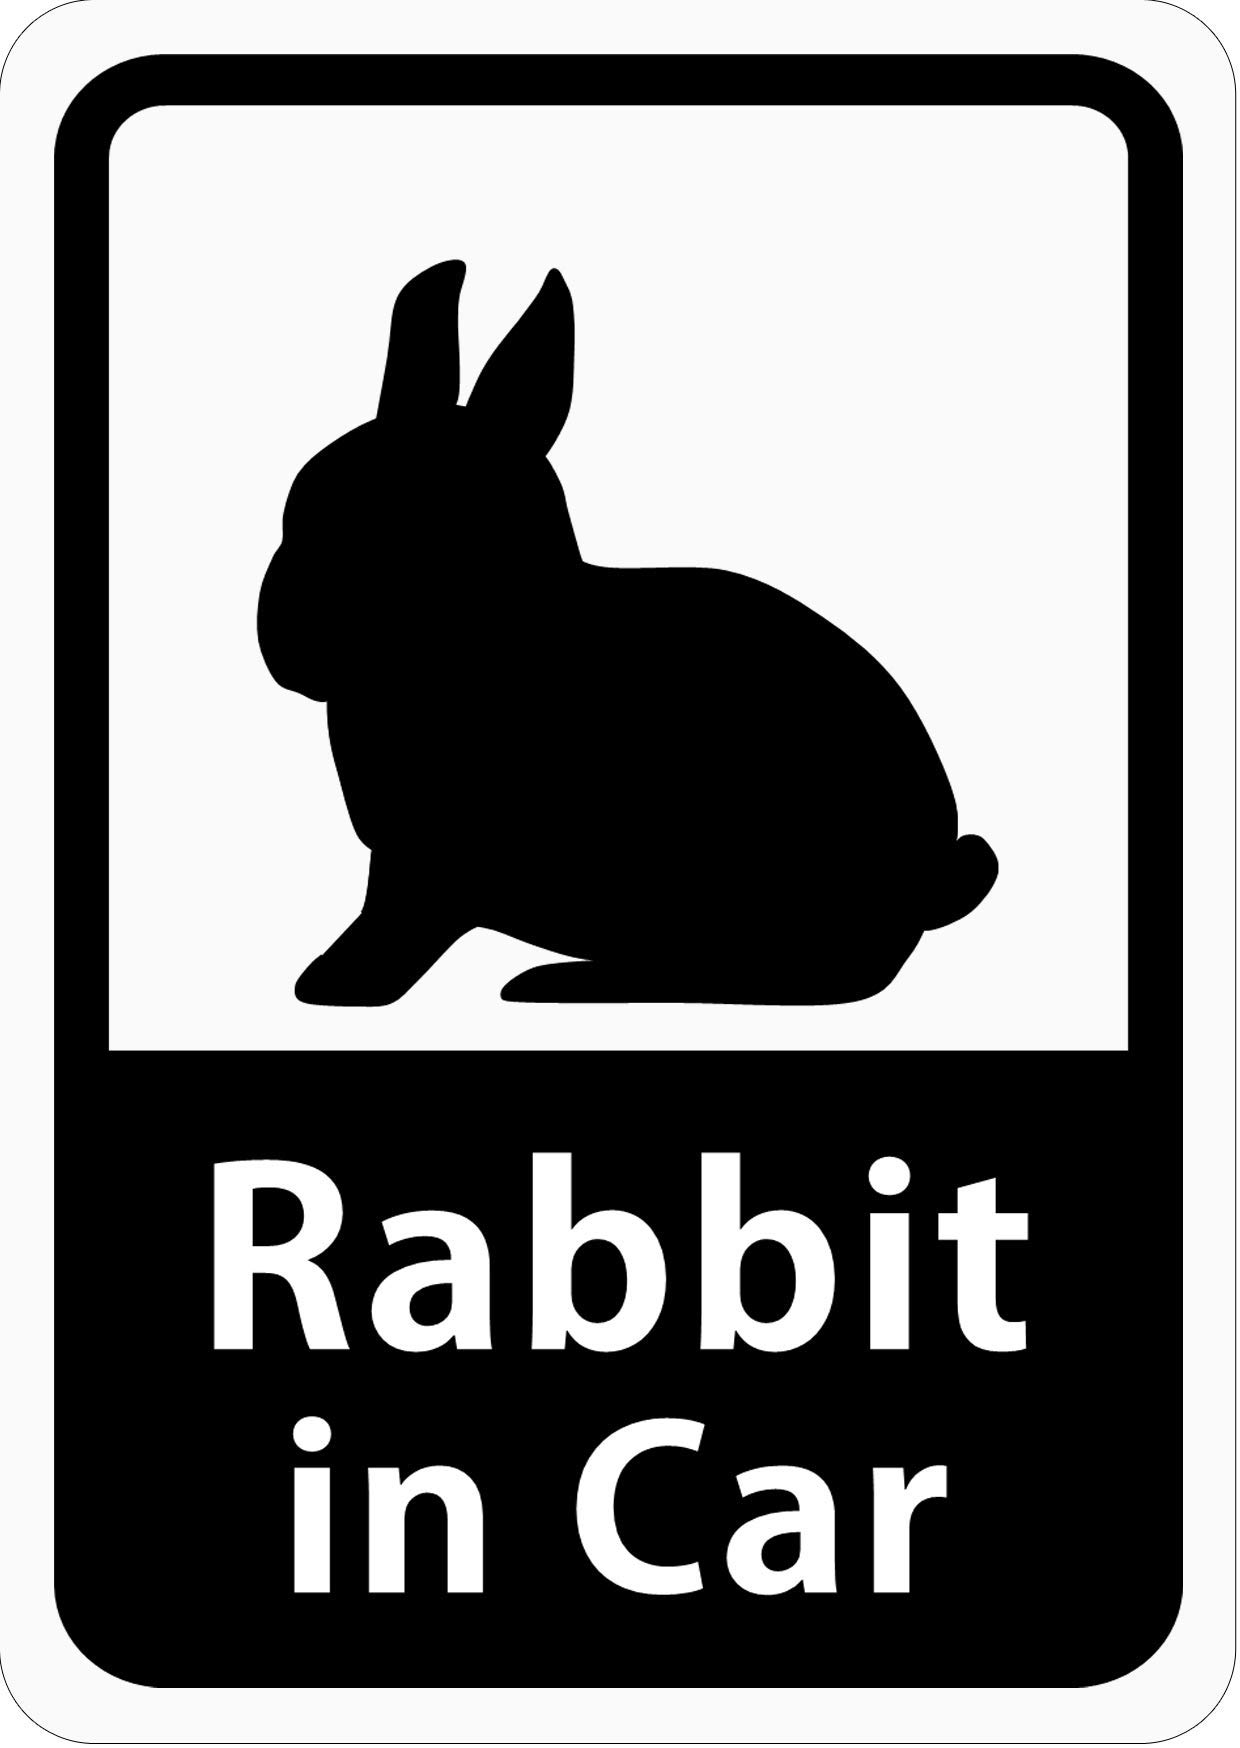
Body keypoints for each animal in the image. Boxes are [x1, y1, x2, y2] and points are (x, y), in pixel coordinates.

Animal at [258, 260, 997, 1005]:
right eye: (301, 498)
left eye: (431, 523)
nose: (288, 638)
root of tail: (927, 880)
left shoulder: (429, 859)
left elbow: (399, 918)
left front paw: (335, 985)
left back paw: (559, 981)